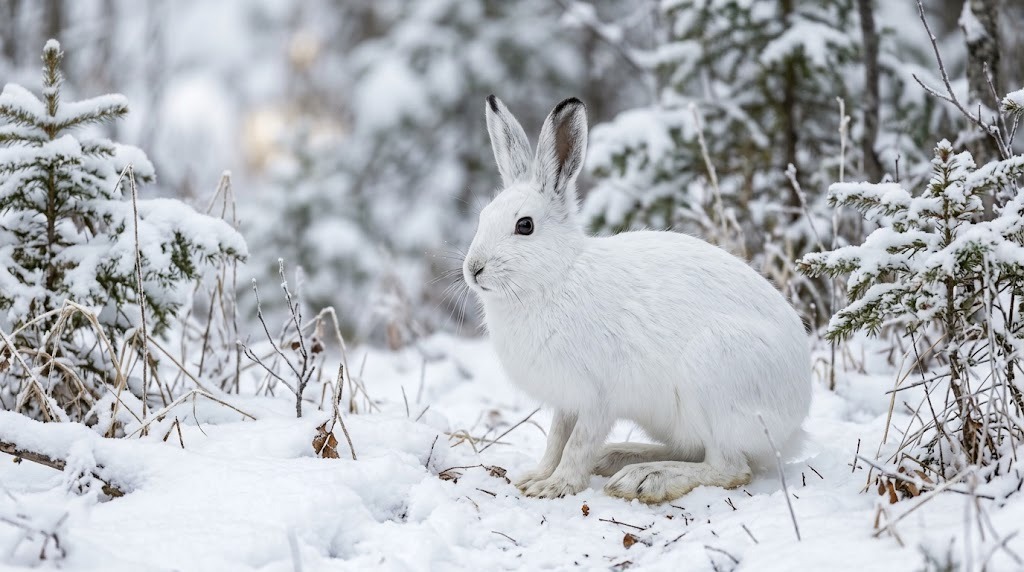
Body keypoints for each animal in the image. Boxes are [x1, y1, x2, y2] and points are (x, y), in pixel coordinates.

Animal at [462, 95, 812, 503]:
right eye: (483, 217)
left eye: (525, 225)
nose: (474, 268)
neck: (556, 276)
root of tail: (794, 424)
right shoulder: (567, 401)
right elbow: (556, 438)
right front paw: (535, 476)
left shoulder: (598, 396)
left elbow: (577, 443)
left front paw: (556, 486)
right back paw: (620, 457)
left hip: (713, 378)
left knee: (729, 467)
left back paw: (645, 477)